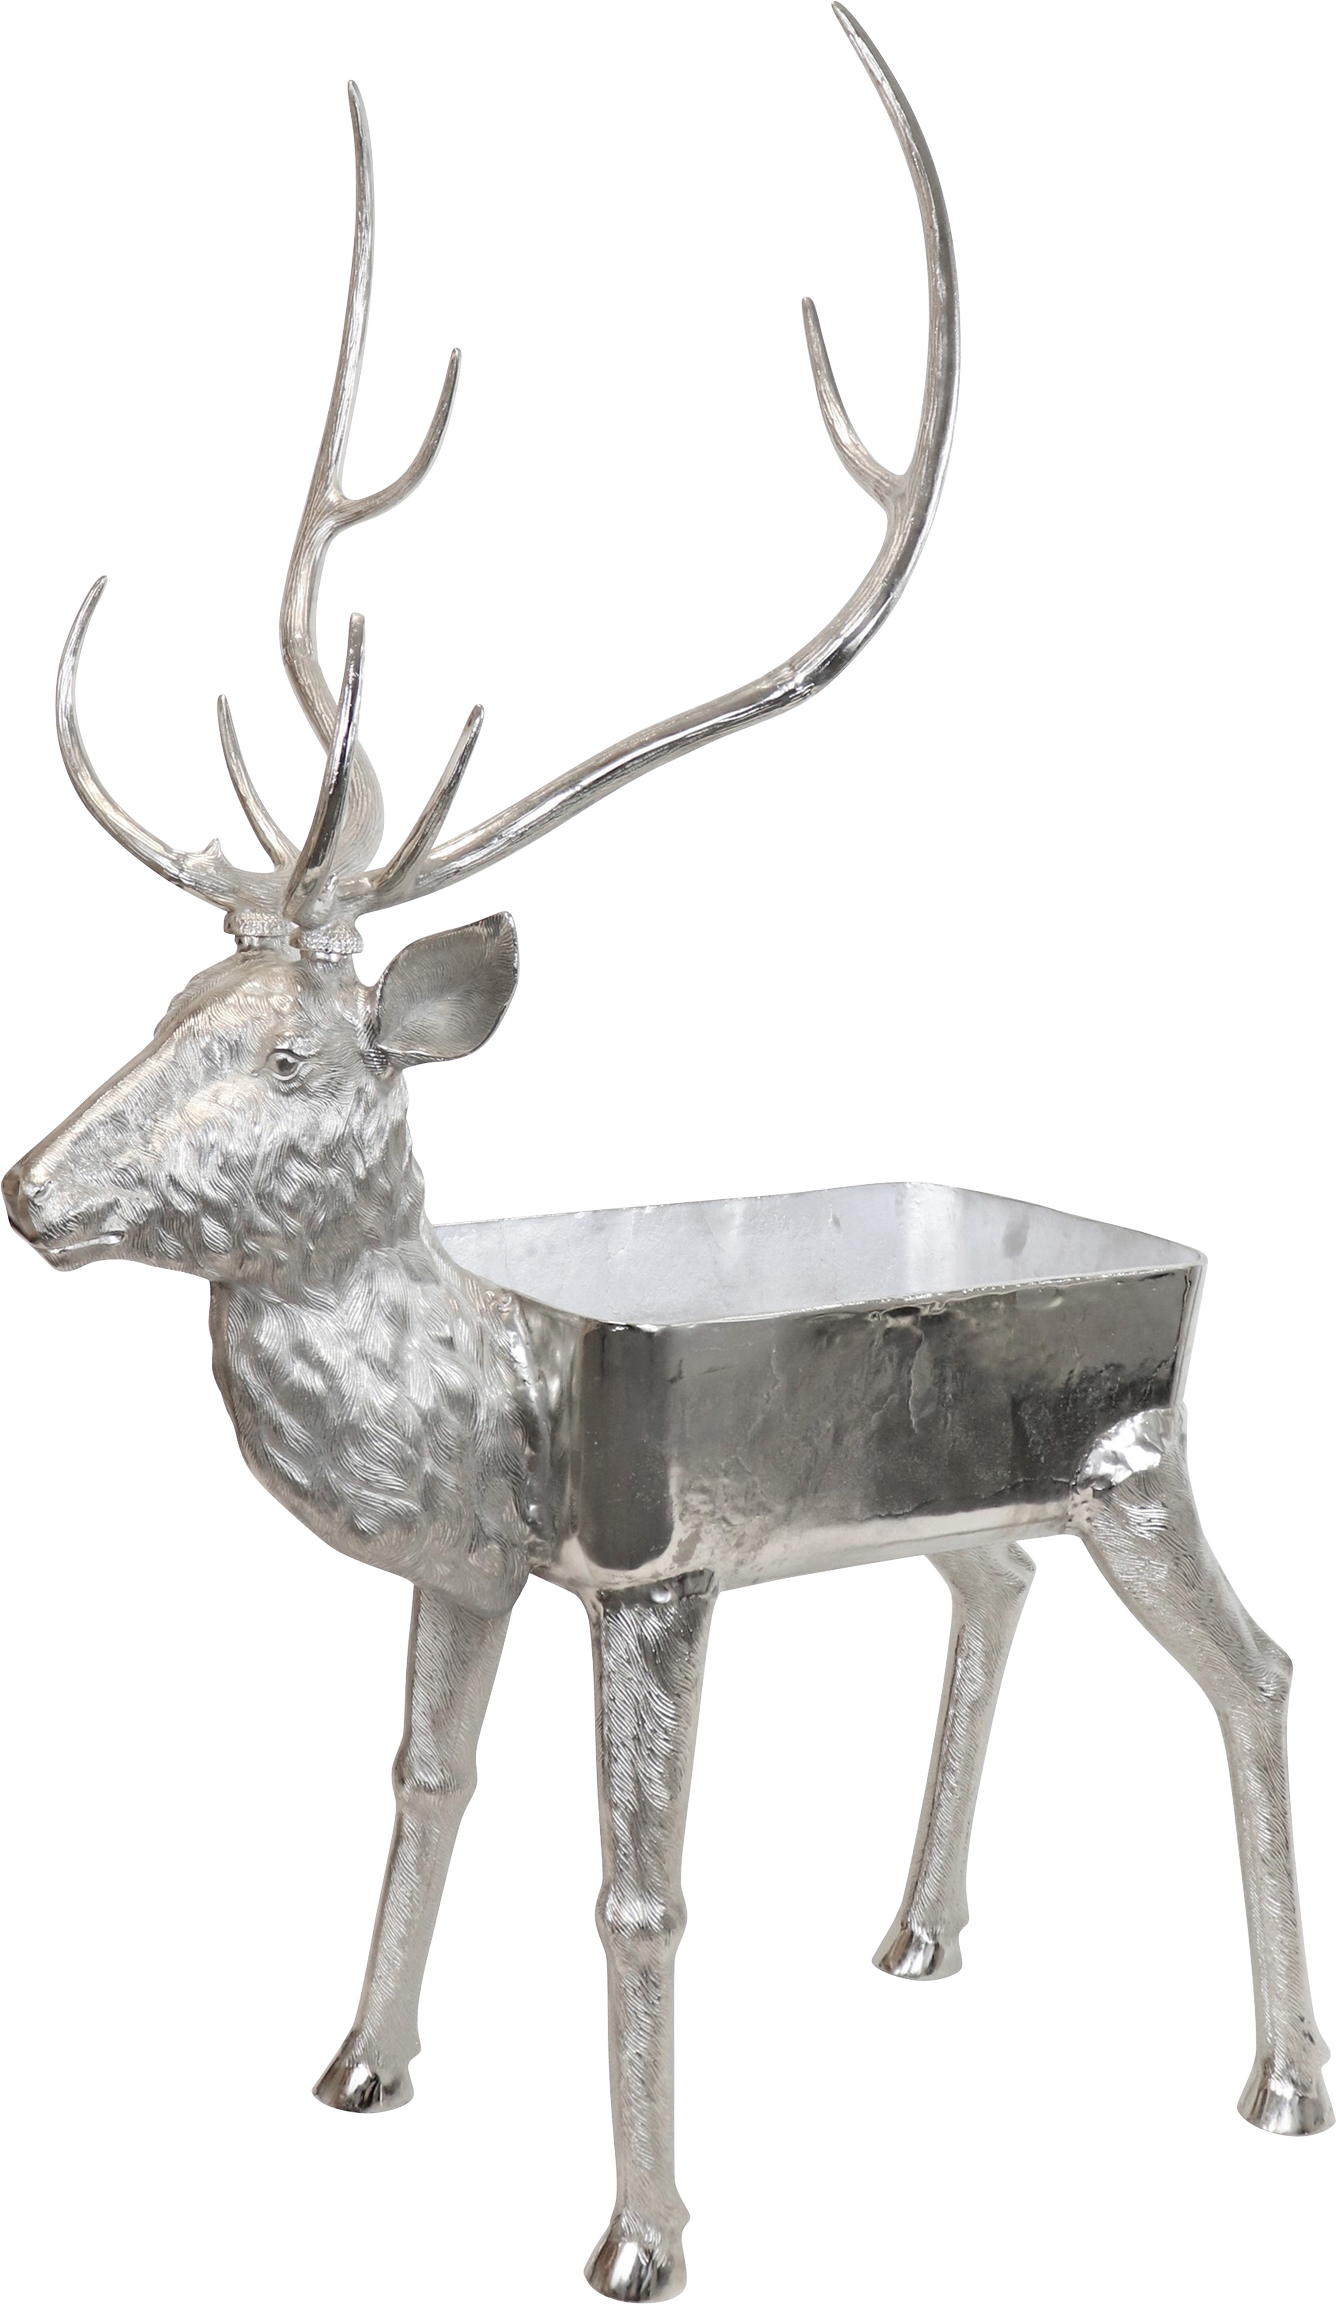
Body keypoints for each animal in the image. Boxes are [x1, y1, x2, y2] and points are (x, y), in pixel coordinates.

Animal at [4, 11, 1329, 2299]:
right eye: (167, 1005)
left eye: (287, 1051)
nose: (27, 1187)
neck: (467, 1379)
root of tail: (1114, 1221)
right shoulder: (471, 1562)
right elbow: (418, 1776)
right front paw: (358, 2070)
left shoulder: (651, 1562)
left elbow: (638, 1894)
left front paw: (636, 2239)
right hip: (970, 1487)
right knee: (989, 1588)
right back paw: (916, 1938)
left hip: (1142, 1455)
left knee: (1254, 1675)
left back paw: (1275, 2086)